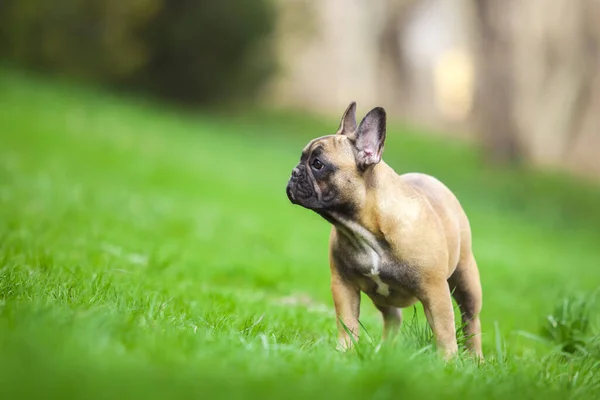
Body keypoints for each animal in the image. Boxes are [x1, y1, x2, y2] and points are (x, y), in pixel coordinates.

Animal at [284, 101, 482, 360]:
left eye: (318, 164)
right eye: (303, 158)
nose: (294, 172)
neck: (364, 229)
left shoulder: (435, 291)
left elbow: (444, 331)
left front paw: (448, 362)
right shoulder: (343, 285)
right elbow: (347, 322)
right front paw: (344, 352)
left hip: (466, 278)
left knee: (470, 319)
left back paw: (476, 358)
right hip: (381, 296)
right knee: (392, 318)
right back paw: (385, 351)